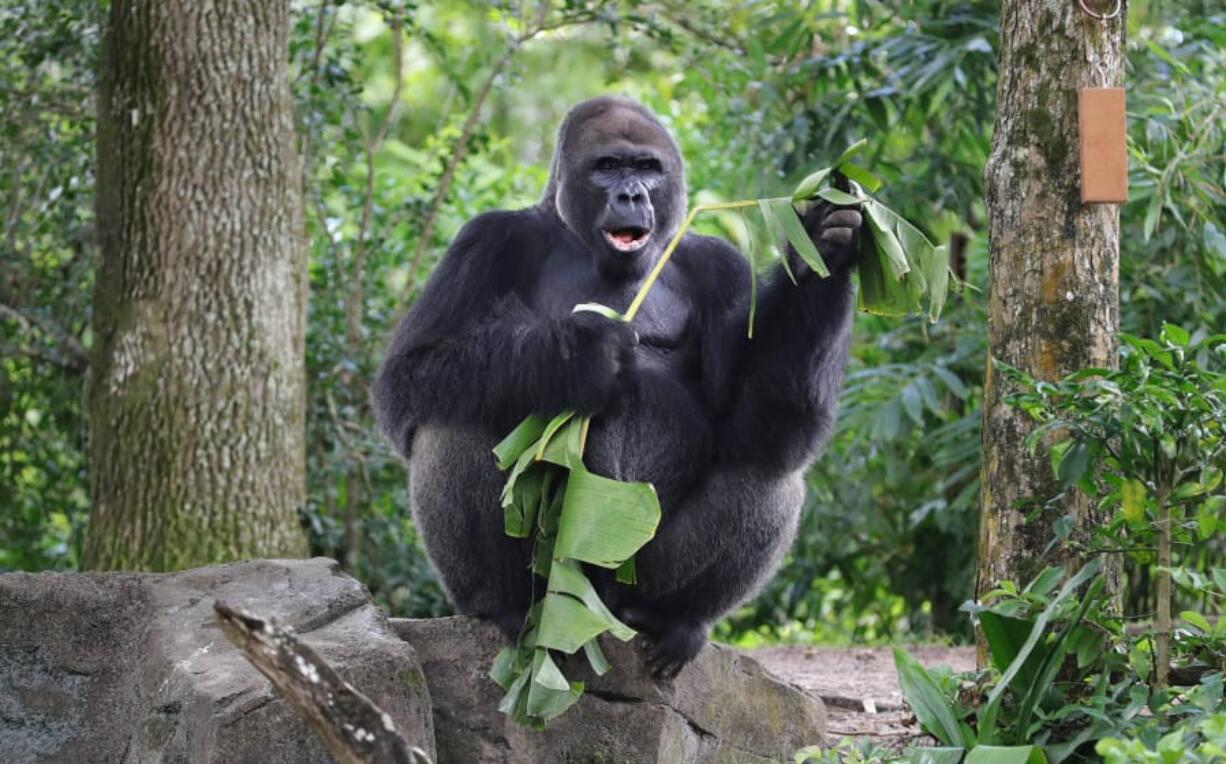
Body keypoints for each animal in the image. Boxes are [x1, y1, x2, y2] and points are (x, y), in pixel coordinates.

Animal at [372, 98, 863, 676]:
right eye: (607, 166)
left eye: (647, 168)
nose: (631, 194)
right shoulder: (485, 240)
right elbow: (410, 374)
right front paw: (578, 360)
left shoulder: (721, 268)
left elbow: (760, 427)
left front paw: (825, 245)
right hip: (556, 585)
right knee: (456, 416)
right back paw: (502, 604)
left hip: (629, 579)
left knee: (768, 468)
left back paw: (675, 618)